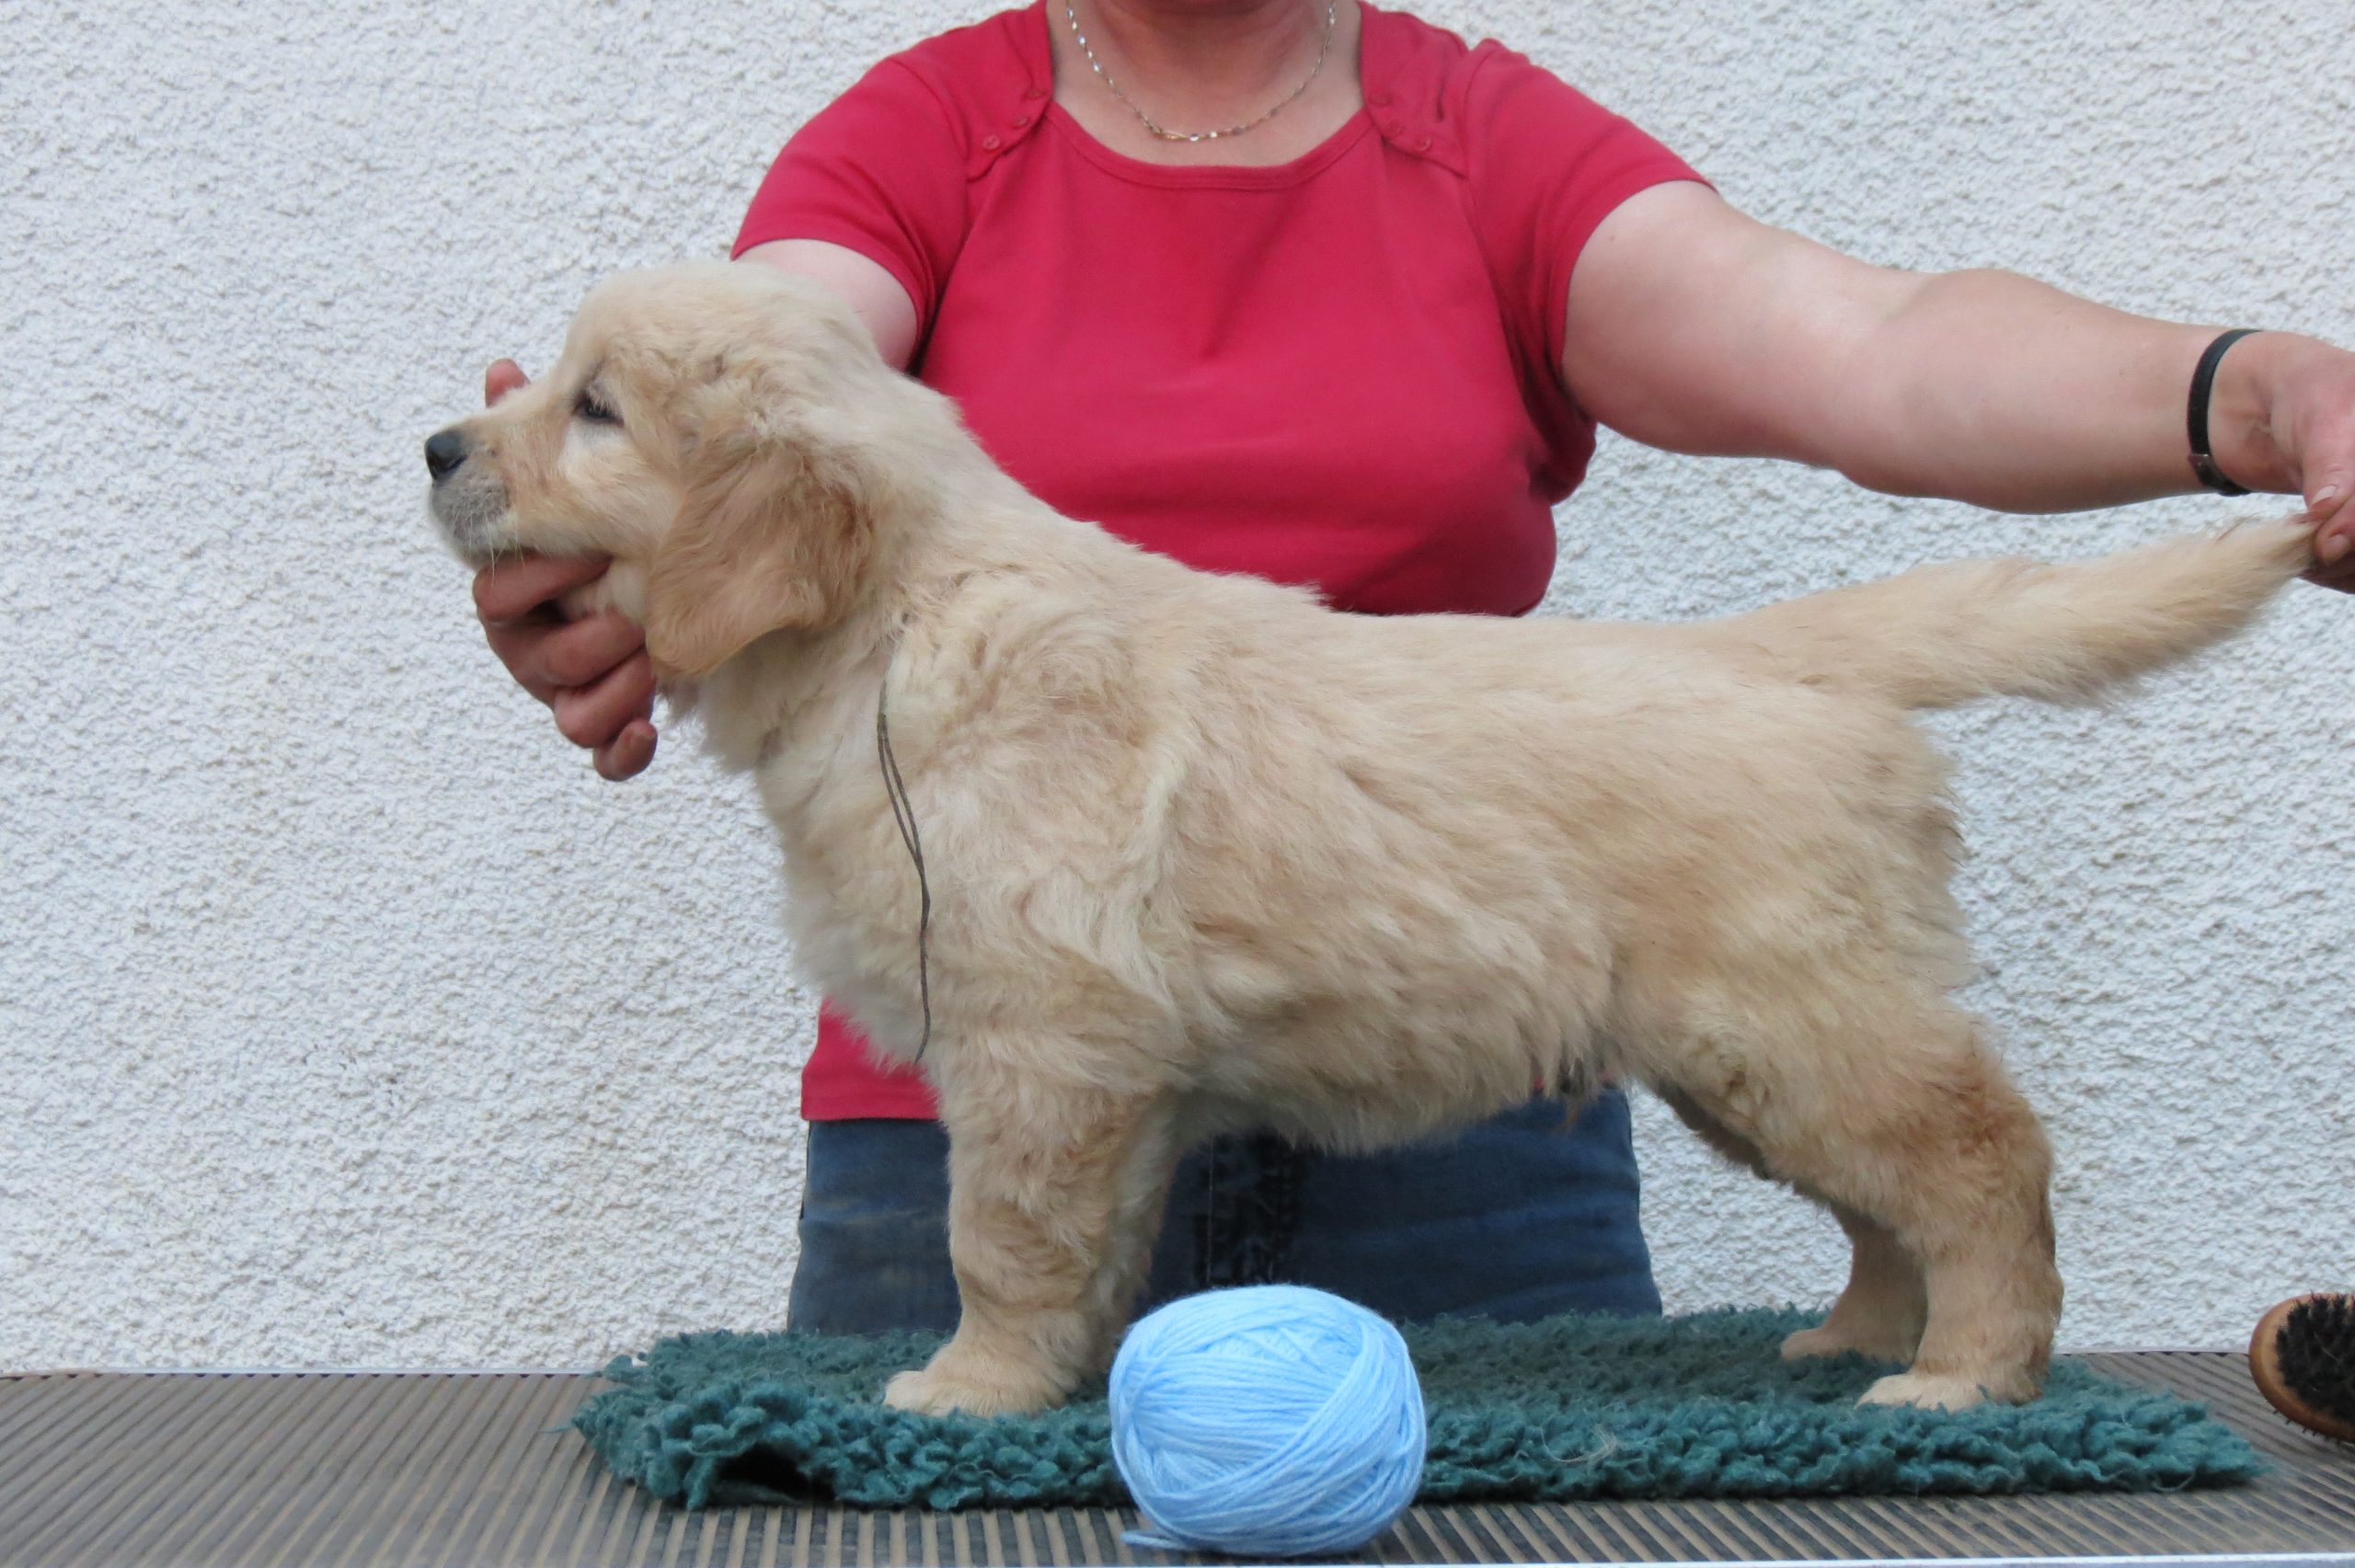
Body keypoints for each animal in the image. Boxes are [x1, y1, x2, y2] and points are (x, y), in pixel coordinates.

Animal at [423, 258, 2317, 1413]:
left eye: (596, 408)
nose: (440, 442)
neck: (895, 626)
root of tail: (1790, 652)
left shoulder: (1040, 1038)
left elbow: (999, 1234)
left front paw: (969, 1390)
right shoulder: (1109, 1076)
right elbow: (1089, 1241)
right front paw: (1066, 1380)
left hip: (1798, 1014)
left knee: (1980, 1162)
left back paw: (1969, 1371)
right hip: (1756, 1048)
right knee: (1885, 1200)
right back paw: (1855, 1337)